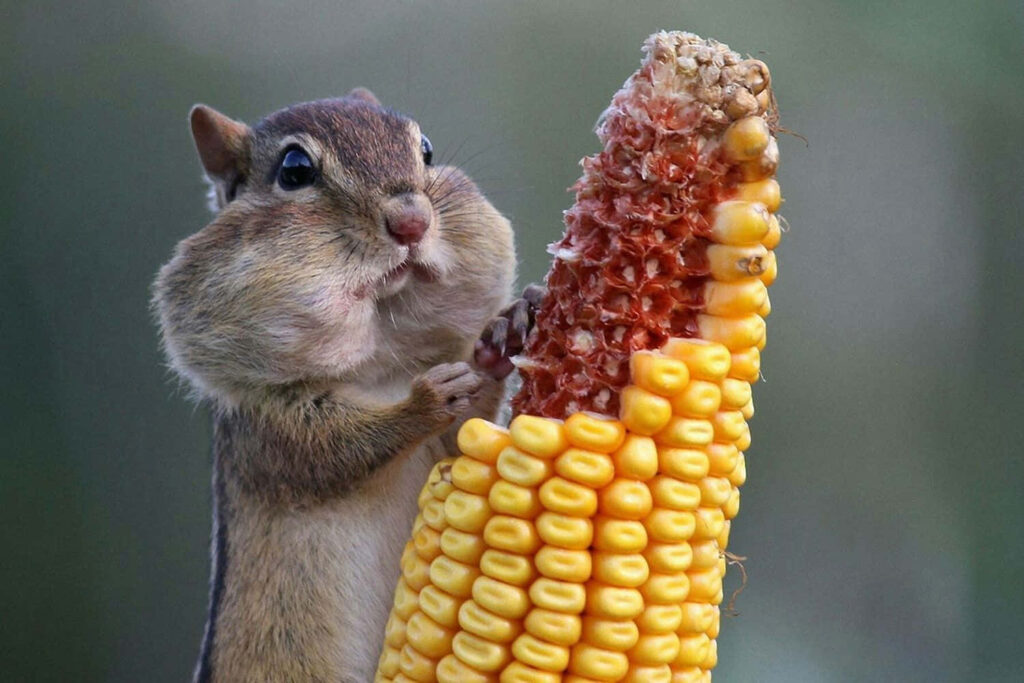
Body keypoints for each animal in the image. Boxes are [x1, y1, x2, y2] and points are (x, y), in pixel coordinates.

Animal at [153, 88, 541, 682]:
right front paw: (425, 401)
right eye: (294, 170)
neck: (380, 368)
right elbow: (334, 451)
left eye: (426, 150)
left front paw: (504, 332)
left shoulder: (447, 451)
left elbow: (468, 440)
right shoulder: (267, 433)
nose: (411, 221)